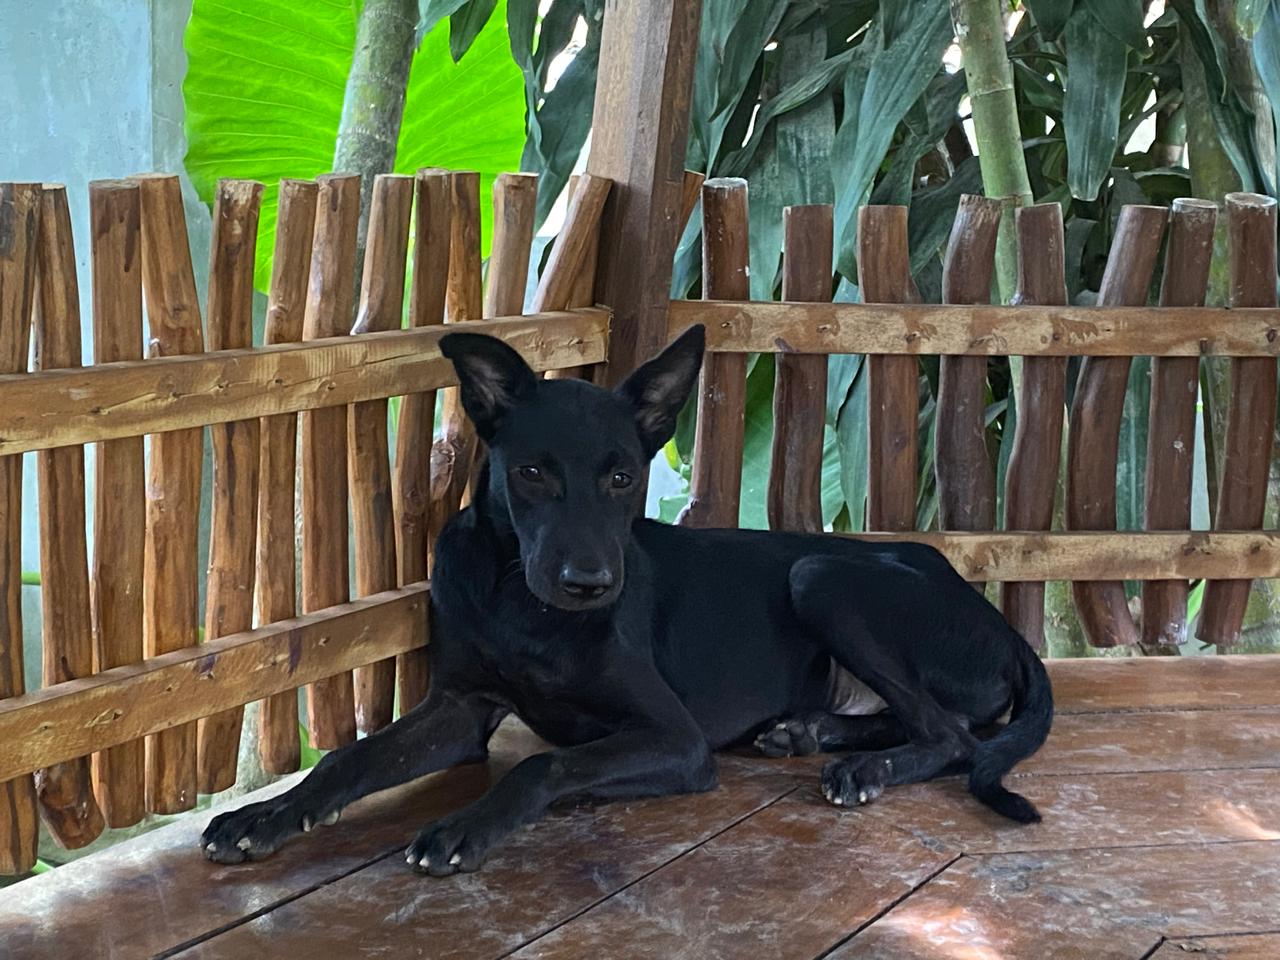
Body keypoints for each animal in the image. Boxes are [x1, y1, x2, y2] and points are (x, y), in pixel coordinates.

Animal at [199, 327, 1049, 875]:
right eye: (531, 474)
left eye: (622, 477)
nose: (589, 583)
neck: (523, 605)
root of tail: (999, 623)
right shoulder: (461, 709)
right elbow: (352, 758)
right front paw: (264, 817)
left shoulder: (674, 738)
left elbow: (542, 766)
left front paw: (465, 828)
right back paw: (806, 732)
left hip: (822, 575)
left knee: (950, 736)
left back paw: (863, 769)